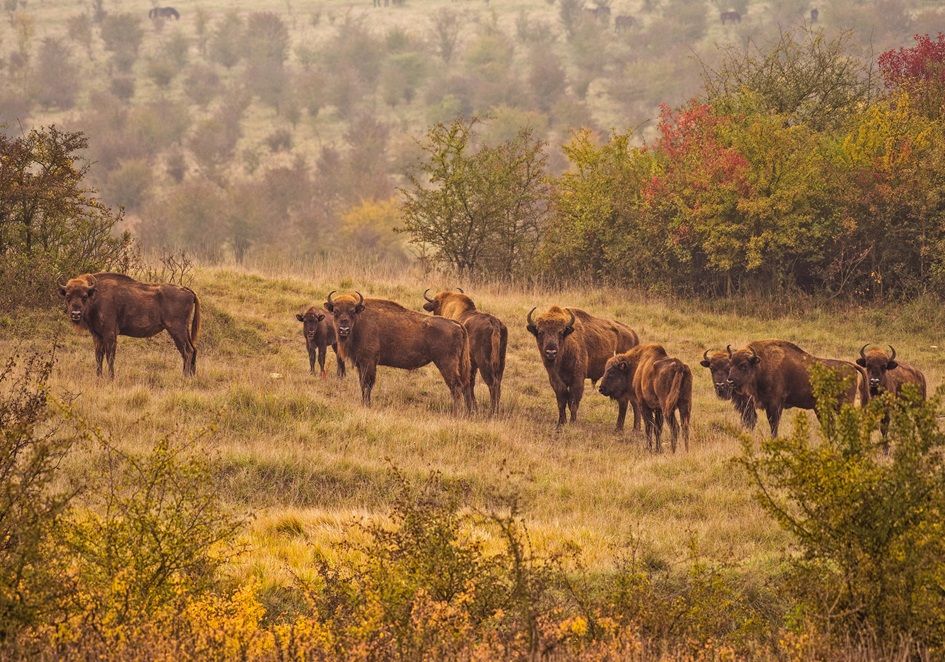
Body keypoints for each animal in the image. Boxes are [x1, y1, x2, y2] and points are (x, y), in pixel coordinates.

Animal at [58, 274, 202, 378]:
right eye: (68, 296)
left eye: (84, 296)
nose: (75, 314)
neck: (95, 295)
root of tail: (188, 291)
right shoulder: (97, 335)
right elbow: (98, 357)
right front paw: (98, 377)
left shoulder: (110, 334)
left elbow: (110, 356)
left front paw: (111, 377)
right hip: (183, 330)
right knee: (192, 350)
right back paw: (191, 377)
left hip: (176, 330)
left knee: (188, 351)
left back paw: (184, 377)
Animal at [324, 292, 472, 416]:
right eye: (335, 311)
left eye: (352, 311)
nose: (343, 329)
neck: (359, 321)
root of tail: (456, 324)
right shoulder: (361, 364)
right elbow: (362, 384)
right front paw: (364, 403)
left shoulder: (369, 362)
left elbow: (367, 384)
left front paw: (367, 405)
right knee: (464, 386)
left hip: (446, 364)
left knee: (455, 386)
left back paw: (455, 413)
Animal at [728, 340, 868, 438]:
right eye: (731, 364)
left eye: (744, 365)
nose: (730, 381)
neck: (761, 364)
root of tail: (850, 366)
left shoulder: (774, 404)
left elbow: (774, 424)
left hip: (843, 404)